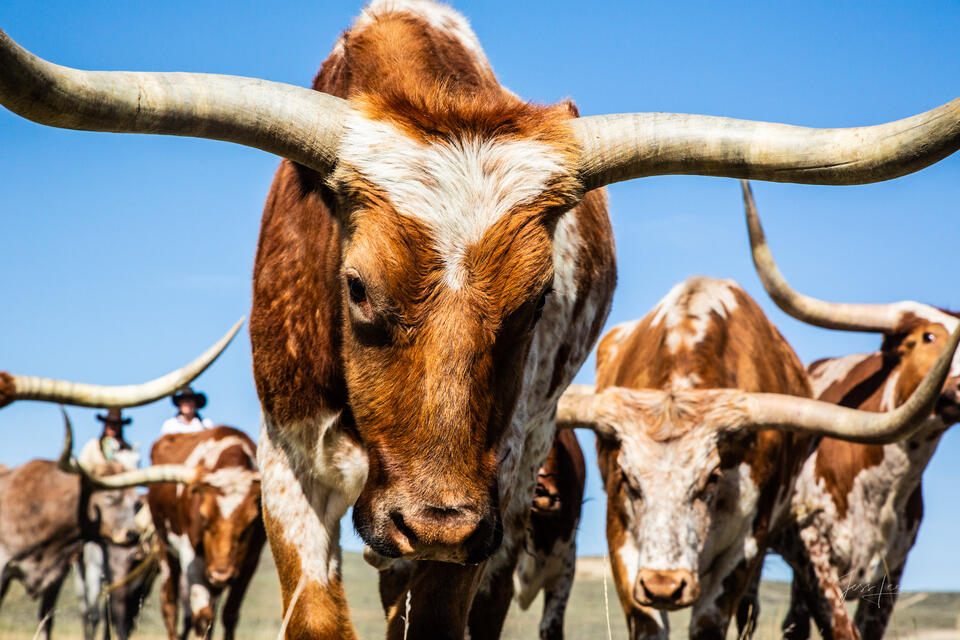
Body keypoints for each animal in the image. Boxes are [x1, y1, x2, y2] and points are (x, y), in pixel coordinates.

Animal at [146, 427, 265, 640]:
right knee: (170, 605)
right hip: (165, 549)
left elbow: (230, 615)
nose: (221, 574)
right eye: (203, 517)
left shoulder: (250, 562)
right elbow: (202, 617)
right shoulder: (191, 557)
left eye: (252, 521)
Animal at [554, 276, 957, 640]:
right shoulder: (620, 536)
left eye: (711, 479)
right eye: (628, 479)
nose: (664, 586)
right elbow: (647, 622)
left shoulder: (751, 546)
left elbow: (709, 623)